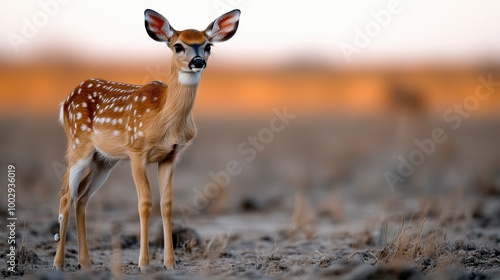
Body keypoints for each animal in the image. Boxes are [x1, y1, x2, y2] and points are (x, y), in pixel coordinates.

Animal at [53, 9, 241, 272]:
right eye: (178, 46)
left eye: (208, 46)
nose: (198, 61)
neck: (164, 119)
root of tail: (66, 101)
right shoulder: (136, 151)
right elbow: (144, 203)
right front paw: (144, 264)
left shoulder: (170, 156)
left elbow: (167, 204)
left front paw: (170, 263)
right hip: (79, 145)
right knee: (66, 195)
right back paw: (58, 264)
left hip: (104, 160)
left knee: (82, 198)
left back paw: (86, 263)